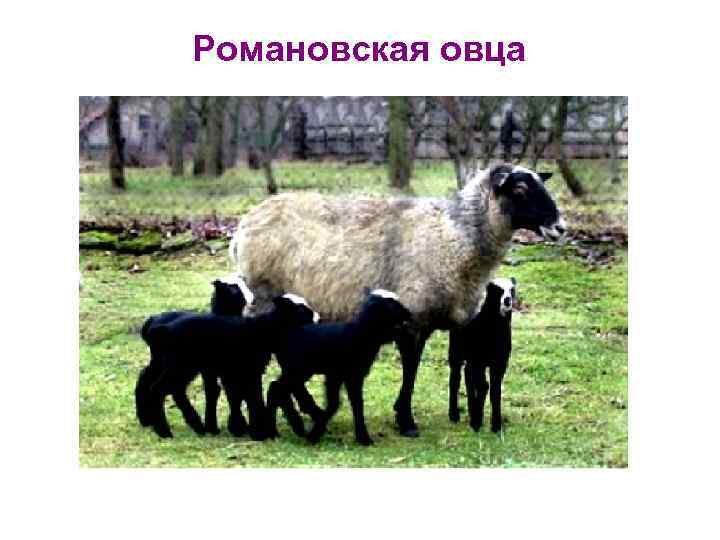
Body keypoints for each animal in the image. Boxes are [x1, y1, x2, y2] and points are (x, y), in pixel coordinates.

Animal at [135, 274, 251, 434]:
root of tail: (153, 323)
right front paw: (237, 427)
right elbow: (231, 390)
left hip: (162, 361)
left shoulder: (210, 369)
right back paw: (168, 428)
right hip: (179, 365)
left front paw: (213, 426)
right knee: (164, 388)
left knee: (146, 378)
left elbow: (213, 390)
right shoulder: (226, 366)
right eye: (234, 289)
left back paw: (147, 419)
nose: (250, 297)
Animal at [136, 293, 318, 439]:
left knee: (156, 382)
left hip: (169, 363)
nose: (317, 317)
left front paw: (247, 428)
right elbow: (252, 397)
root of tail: (161, 328)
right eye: (301, 309)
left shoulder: (243, 371)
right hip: (179, 364)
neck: (263, 330)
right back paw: (164, 431)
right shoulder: (248, 369)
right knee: (159, 389)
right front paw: (257, 432)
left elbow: (244, 396)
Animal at [267, 289, 413, 446]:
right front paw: (315, 434)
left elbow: (352, 403)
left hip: (296, 370)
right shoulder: (340, 375)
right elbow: (337, 404)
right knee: (276, 389)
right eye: (392, 304)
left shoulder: (348, 377)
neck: (360, 335)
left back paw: (287, 428)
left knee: (279, 389)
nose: (409, 313)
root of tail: (285, 332)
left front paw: (362, 437)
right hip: (297, 370)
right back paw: (278, 429)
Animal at [448, 277, 516, 434]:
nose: (507, 300)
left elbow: (495, 390)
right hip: (456, 351)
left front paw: (496, 425)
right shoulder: (479, 360)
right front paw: (476, 422)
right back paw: (454, 415)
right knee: (455, 379)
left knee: (468, 376)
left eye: (512, 289)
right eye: (497, 290)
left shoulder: (500, 362)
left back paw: (472, 409)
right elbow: (484, 386)